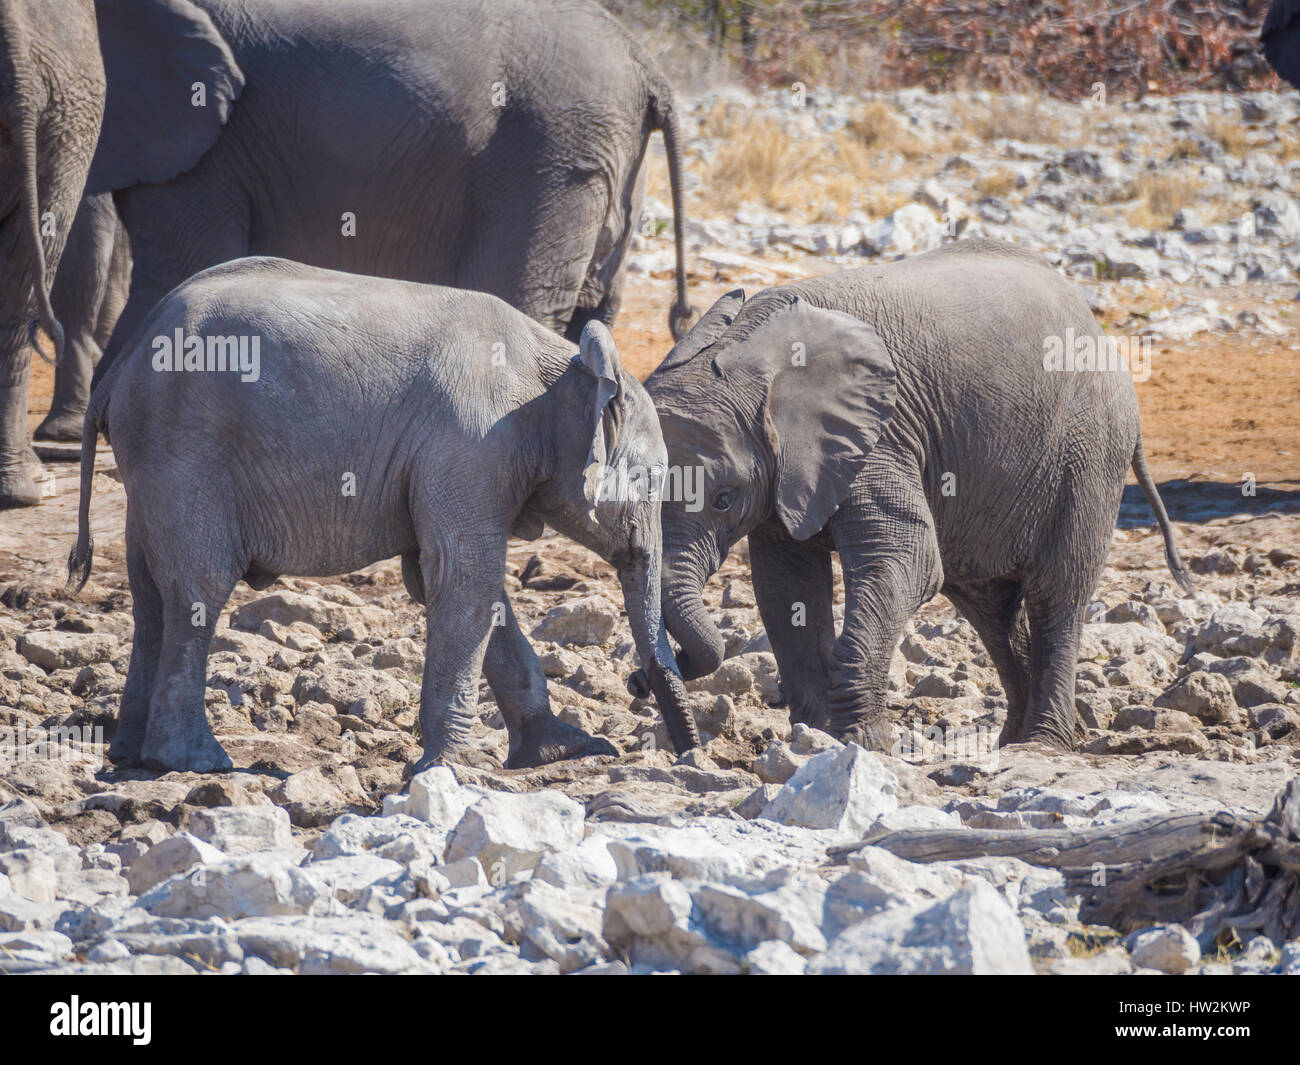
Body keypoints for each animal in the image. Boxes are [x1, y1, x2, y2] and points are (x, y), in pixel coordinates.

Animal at [68, 258, 702, 775]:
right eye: (651, 483)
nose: (639, 684)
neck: (561, 365)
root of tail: (120, 368)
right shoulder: (471, 445)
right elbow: (464, 581)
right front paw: (457, 769)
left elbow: (450, 582)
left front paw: (570, 750)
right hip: (184, 452)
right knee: (197, 589)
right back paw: (194, 762)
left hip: (149, 462)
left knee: (149, 594)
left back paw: (129, 757)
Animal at [634, 239, 1190, 759]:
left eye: (724, 499)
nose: (638, 681)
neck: (751, 356)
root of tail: (1103, 336)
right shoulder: (789, 477)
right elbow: (785, 589)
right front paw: (814, 740)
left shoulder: (881, 437)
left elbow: (907, 561)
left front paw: (861, 744)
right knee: (991, 609)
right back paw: (1009, 741)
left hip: (1088, 455)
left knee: (1057, 595)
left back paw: (1041, 746)